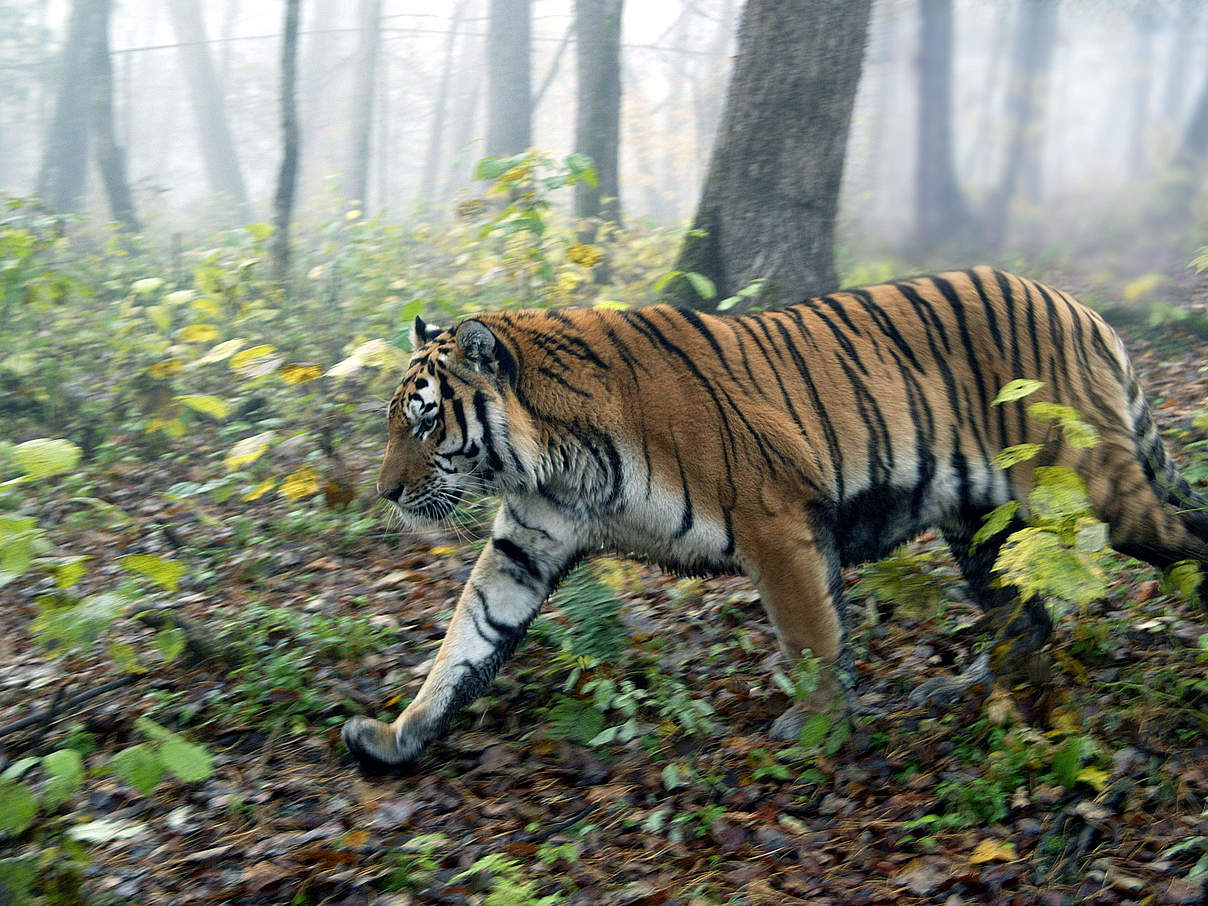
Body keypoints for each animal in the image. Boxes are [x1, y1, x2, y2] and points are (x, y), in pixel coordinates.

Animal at [340, 265, 1208, 768]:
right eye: (395, 422)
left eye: (424, 423)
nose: (384, 493)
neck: (550, 455)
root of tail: (1081, 308)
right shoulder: (526, 545)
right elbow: (466, 641)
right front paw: (398, 735)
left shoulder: (776, 519)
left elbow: (811, 636)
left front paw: (820, 732)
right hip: (982, 525)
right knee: (1023, 616)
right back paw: (978, 690)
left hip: (1095, 488)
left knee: (1182, 539)